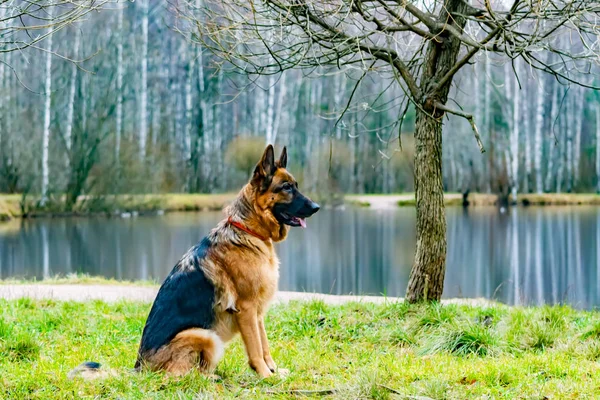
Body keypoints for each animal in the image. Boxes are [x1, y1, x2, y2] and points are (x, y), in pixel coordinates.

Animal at [71, 145, 318, 378]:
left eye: (295, 185)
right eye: (286, 187)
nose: (316, 207)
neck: (248, 231)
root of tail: (140, 368)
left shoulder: (257, 314)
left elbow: (264, 345)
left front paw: (273, 370)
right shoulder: (247, 309)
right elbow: (256, 349)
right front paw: (266, 376)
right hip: (204, 335)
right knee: (178, 376)